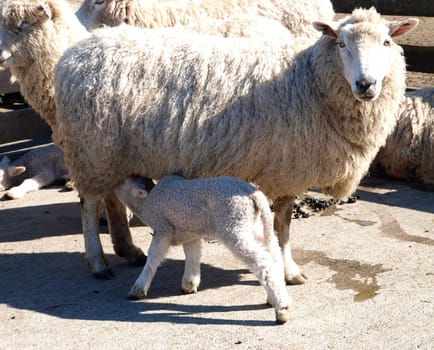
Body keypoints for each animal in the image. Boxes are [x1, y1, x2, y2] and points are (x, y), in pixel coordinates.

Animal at [53, 8, 418, 284]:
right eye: (341, 43)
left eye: (387, 42)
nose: (366, 84)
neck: (309, 81)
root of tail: (74, 53)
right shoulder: (285, 171)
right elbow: (282, 228)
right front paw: (290, 271)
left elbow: (282, 227)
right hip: (92, 148)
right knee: (89, 205)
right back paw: (98, 263)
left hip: (114, 152)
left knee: (111, 197)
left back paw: (127, 251)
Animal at [115, 176, 292, 324]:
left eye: (124, 181)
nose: (113, 183)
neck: (147, 201)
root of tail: (255, 196)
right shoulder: (190, 231)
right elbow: (192, 254)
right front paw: (189, 283)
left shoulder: (163, 227)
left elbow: (154, 256)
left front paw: (139, 288)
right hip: (258, 227)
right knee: (274, 255)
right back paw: (276, 297)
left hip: (234, 225)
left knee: (263, 263)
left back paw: (282, 310)